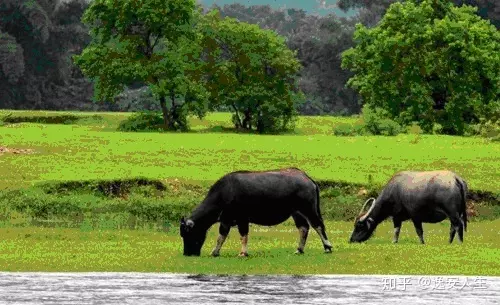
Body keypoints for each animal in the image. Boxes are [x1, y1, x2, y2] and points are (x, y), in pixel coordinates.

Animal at [178, 167, 334, 255]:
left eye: (188, 233)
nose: (187, 253)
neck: (224, 193)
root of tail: (307, 178)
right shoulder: (227, 219)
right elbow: (223, 236)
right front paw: (217, 252)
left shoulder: (240, 219)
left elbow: (239, 235)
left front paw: (241, 253)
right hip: (296, 212)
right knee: (303, 228)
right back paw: (299, 250)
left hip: (308, 208)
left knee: (318, 225)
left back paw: (327, 247)